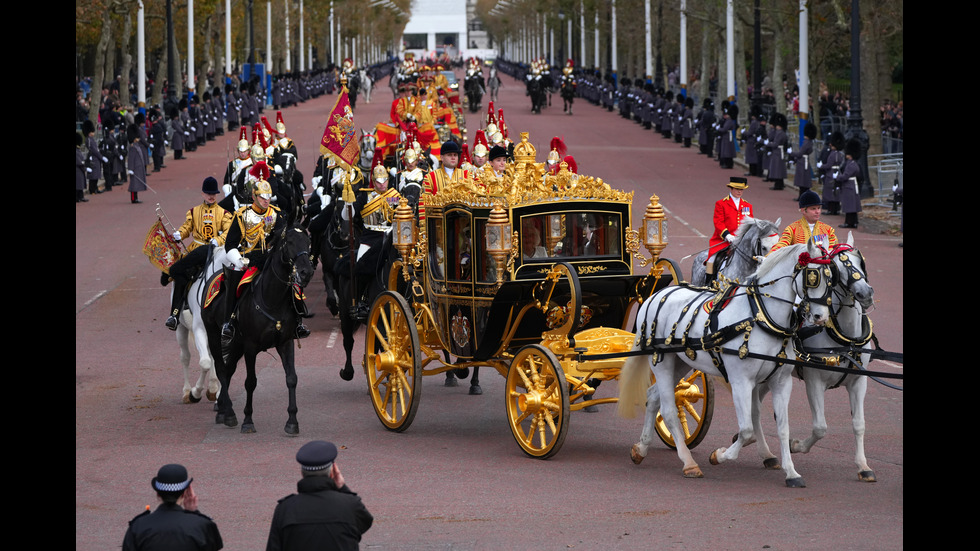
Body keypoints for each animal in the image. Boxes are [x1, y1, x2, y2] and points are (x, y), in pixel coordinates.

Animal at [174, 246, 226, 406]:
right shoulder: (199, 330)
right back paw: (186, 392)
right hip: (181, 329)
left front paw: (217, 393)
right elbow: (205, 363)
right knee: (185, 357)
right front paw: (195, 393)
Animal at [203, 225, 314, 436]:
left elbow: (292, 378)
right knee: (221, 368)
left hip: (236, 344)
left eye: (308, 242)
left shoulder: (285, 342)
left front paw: (292, 422)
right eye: (289, 242)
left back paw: (223, 411)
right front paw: (248, 420)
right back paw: (230, 414)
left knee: (228, 370)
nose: (306, 272)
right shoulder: (250, 346)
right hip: (214, 335)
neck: (272, 300)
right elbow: (250, 381)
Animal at [620, 242, 836, 488]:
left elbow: (782, 428)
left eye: (832, 278)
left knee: (653, 397)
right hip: (662, 363)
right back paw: (689, 463)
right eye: (813, 276)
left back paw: (641, 448)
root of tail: (655, 295)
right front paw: (719, 455)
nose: (820, 317)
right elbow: (747, 430)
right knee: (668, 410)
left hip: (681, 363)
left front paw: (791, 472)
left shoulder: (780, 382)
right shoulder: (741, 381)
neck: (761, 318)